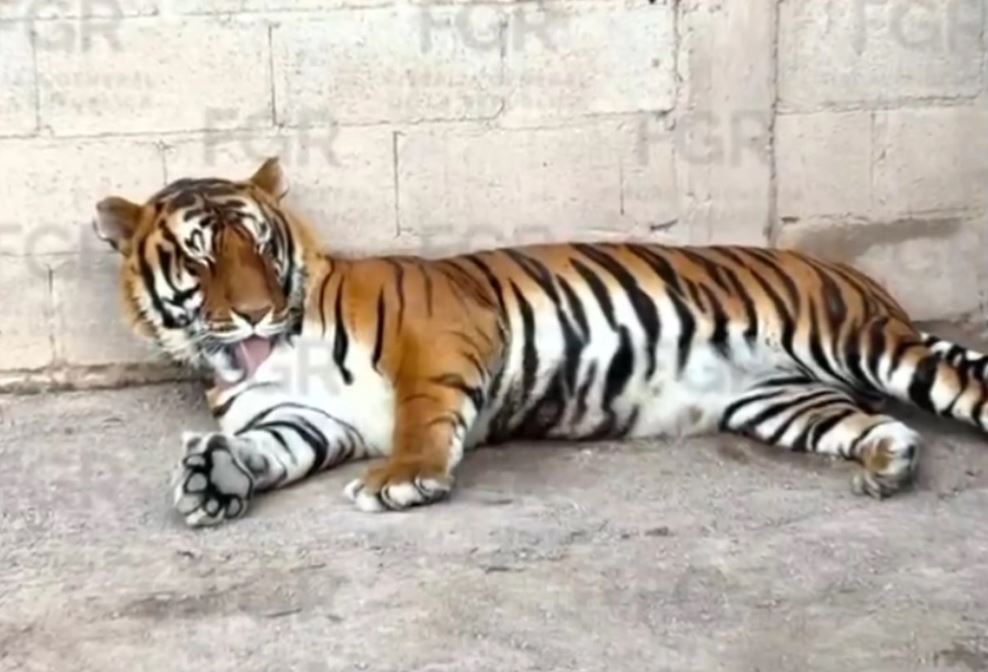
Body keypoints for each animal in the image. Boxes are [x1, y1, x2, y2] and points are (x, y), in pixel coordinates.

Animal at [93, 157, 988, 527]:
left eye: (257, 244)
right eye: (201, 257)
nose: (253, 314)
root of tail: (856, 275)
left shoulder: (438, 336)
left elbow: (422, 416)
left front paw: (405, 479)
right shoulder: (307, 420)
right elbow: (267, 449)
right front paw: (213, 478)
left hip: (866, 344)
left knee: (958, 386)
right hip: (781, 401)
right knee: (877, 424)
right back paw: (888, 463)